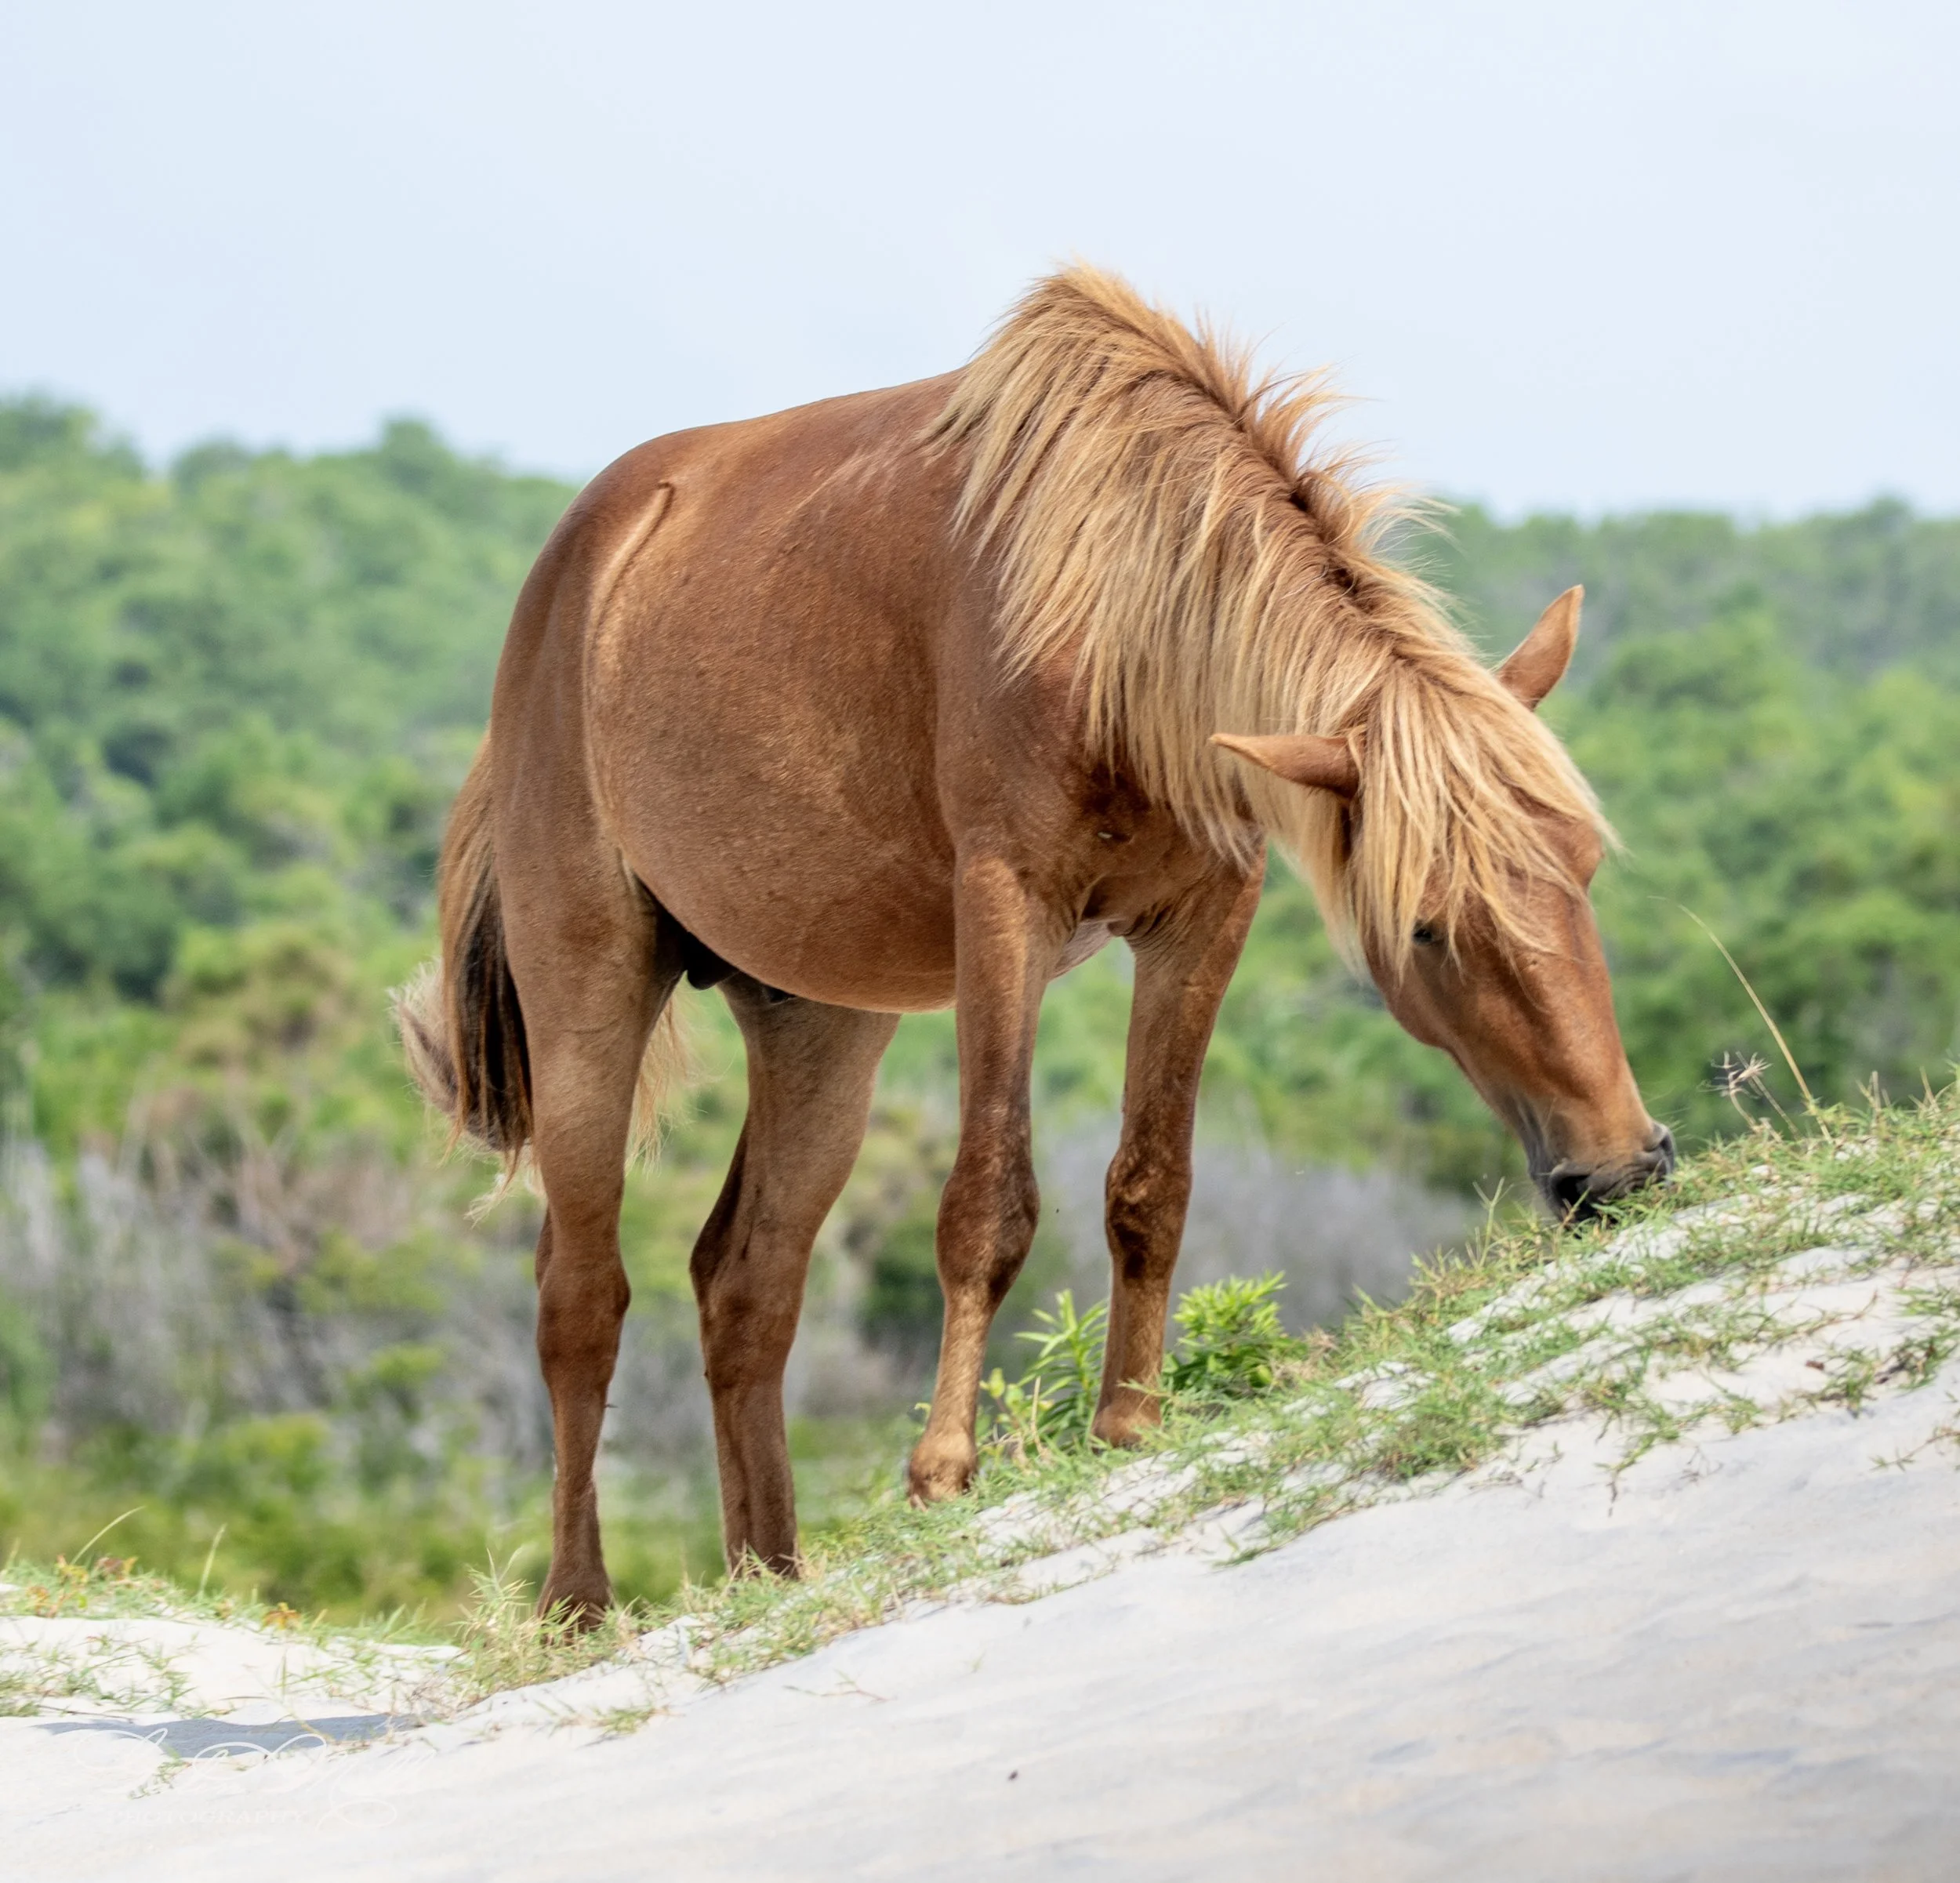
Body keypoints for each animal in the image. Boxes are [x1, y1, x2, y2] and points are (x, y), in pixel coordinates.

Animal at [398, 266, 1673, 1619]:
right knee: (581, 1292)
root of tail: (573, 573)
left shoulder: (1201, 918)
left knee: (745, 1282)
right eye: (1427, 925)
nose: (1620, 1170)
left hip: (816, 1021)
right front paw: (944, 1470)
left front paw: (1129, 1428)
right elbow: (988, 1200)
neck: (1112, 612)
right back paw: (578, 1600)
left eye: (1584, 868)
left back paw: (770, 1571)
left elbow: (1150, 1183)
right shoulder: (1005, 909)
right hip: (588, 991)